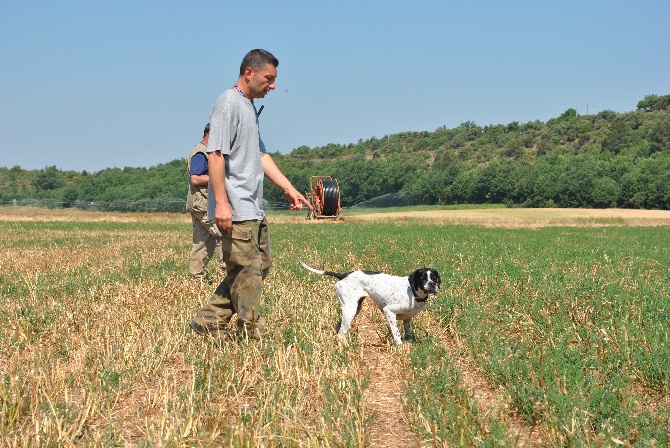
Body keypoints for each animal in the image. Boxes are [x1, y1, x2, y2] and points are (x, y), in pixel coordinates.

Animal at [300, 260, 440, 346]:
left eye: (434, 278)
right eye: (422, 278)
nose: (432, 284)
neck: (412, 291)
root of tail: (343, 275)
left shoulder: (407, 318)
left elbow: (408, 333)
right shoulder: (389, 311)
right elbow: (396, 333)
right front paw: (400, 348)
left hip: (355, 308)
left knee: (339, 328)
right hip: (350, 309)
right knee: (341, 333)